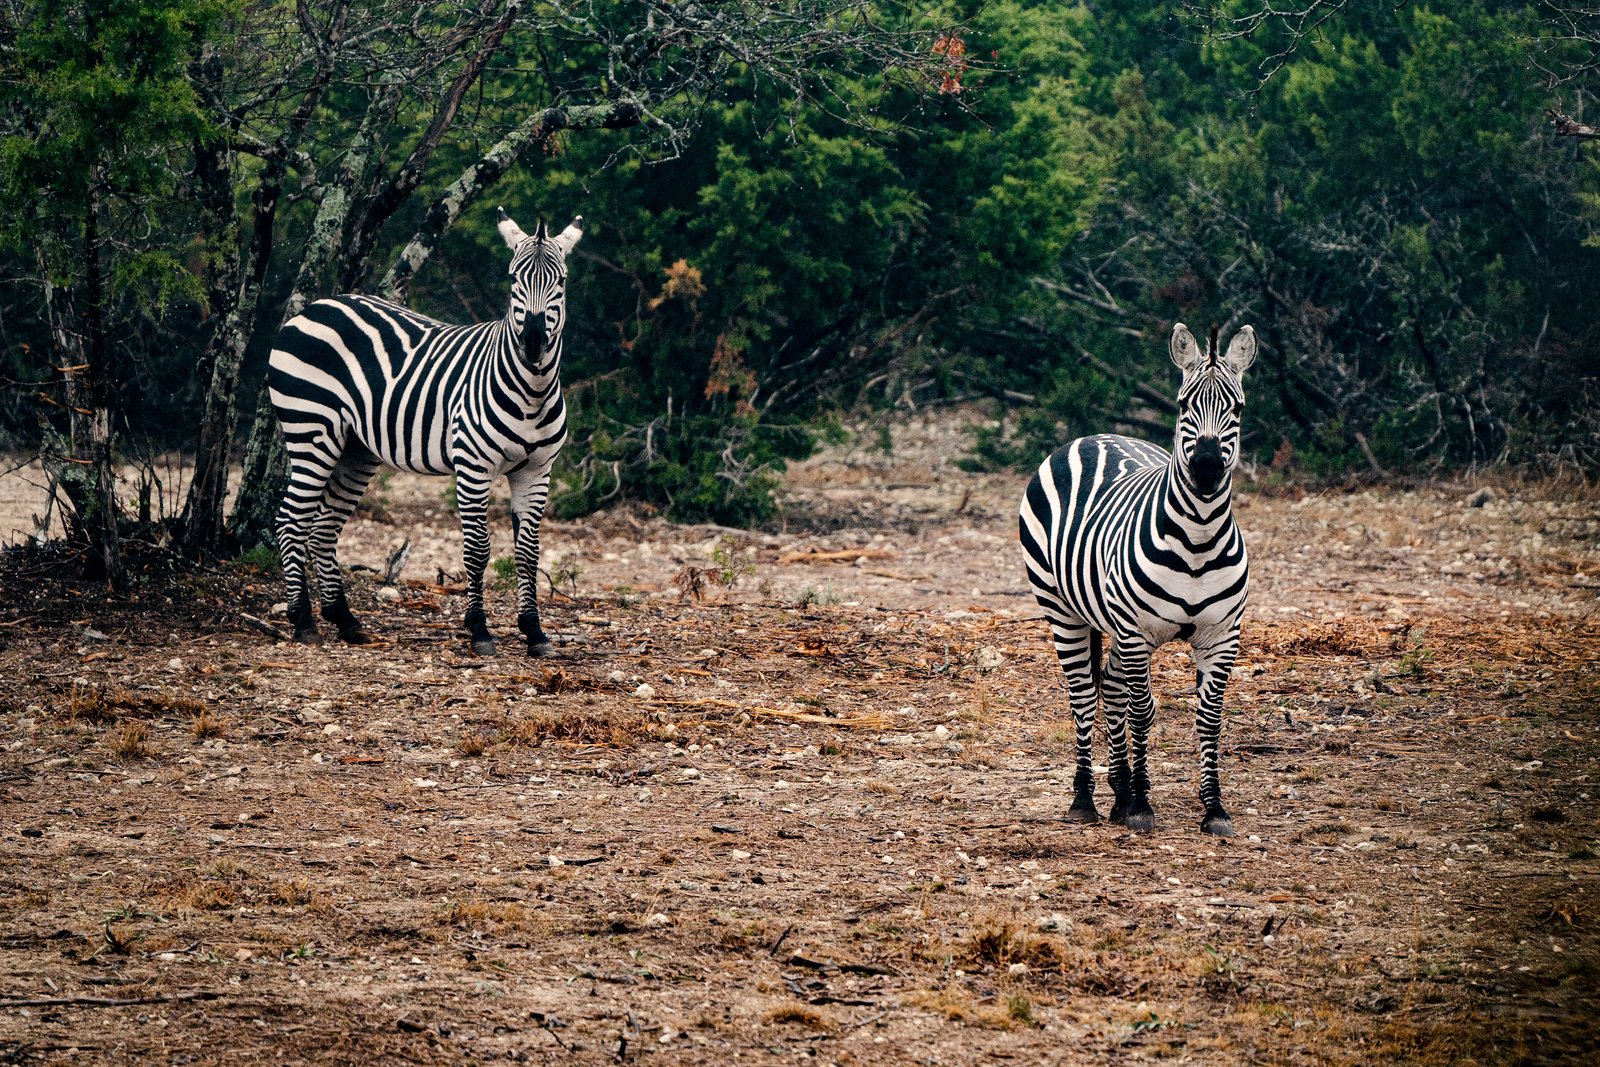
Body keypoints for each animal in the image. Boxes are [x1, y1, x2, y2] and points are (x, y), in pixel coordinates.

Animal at [267, 208, 583, 657]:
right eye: (513, 280)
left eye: (561, 281)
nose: (534, 341)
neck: (532, 391)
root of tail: (316, 306)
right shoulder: (474, 467)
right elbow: (478, 549)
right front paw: (479, 630)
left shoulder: (536, 471)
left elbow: (528, 552)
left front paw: (535, 632)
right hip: (312, 431)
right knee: (290, 522)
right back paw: (304, 621)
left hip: (354, 450)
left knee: (323, 528)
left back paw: (345, 620)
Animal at [1019, 323, 1254, 836]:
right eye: (1183, 405)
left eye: (1238, 408)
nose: (1207, 470)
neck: (1198, 539)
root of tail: (1094, 435)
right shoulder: (1134, 631)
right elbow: (1143, 711)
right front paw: (1144, 804)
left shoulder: (1222, 636)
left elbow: (1209, 718)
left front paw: (1213, 808)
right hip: (1062, 610)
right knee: (1086, 696)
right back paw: (1086, 799)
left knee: (1110, 688)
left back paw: (1119, 793)